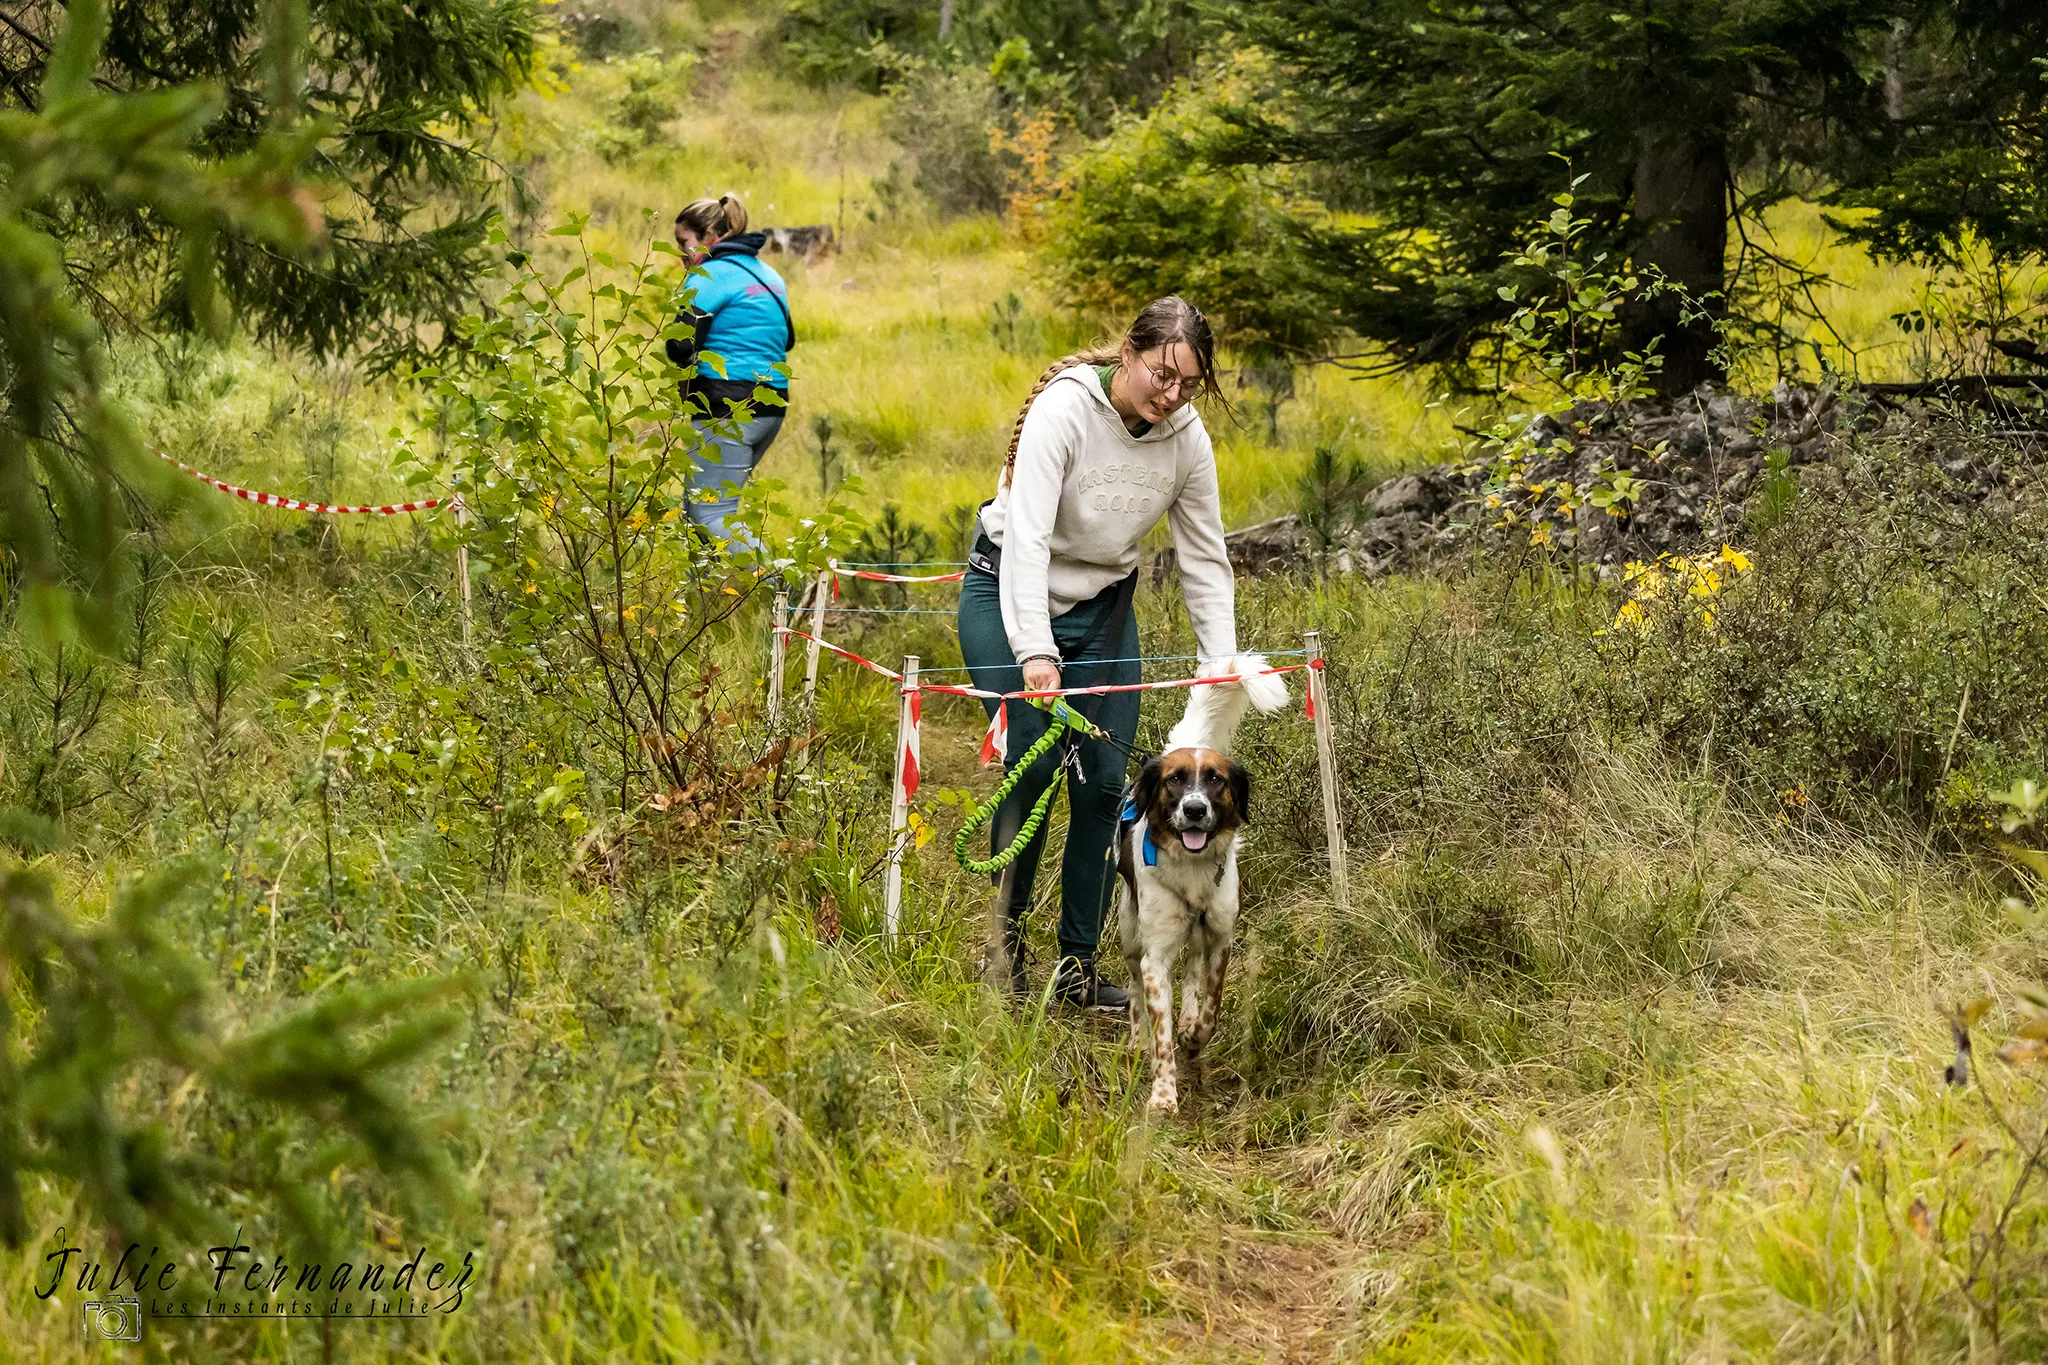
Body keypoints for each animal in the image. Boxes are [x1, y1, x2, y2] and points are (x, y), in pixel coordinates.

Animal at [1114, 654, 1286, 1113]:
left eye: (1215, 779)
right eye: (1174, 779)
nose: (1194, 810)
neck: (1191, 870)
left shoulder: (1221, 936)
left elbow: (1212, 1003)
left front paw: (1194, 1036)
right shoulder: (1154, 956)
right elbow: (1160, 1032)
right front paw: (1162, 1094)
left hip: (1196, 933)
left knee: (1192, 969)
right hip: (1129, 931)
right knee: (1134, 990)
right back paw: (1136, 1040)